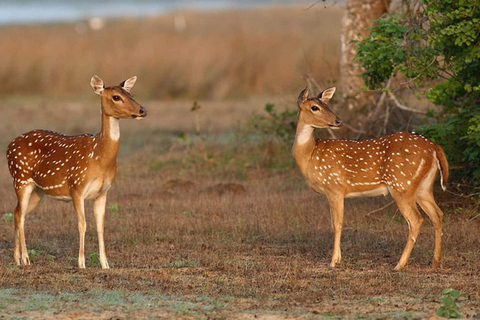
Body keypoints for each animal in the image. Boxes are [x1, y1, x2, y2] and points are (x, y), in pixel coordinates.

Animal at [6, 76, 146, 268]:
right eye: (116, 97)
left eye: (131, 94)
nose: (142, 110)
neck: (99, 158)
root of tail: (8, 147)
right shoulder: (76, 187)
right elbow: (82, 224)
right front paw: (81, 263)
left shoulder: (103, 192)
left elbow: (100, 226)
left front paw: (105, 265)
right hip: (21, 179)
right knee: (20, 215)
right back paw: (26, 259)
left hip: (37, 191)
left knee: (17, 212)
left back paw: (17, 259)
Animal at [292, 87, 450, 270]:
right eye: (315, 107)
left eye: (326, 104)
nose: (338, 121)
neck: (310, 155)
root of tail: (434, 147)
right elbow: (337, 223)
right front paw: (338, 259)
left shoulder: (334, 186)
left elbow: (337, 224)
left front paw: (333, 261)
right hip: (423, 187)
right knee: (437, 214)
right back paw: (435, 261)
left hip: (401, 184)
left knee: (416, 220)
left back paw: (399, 264)